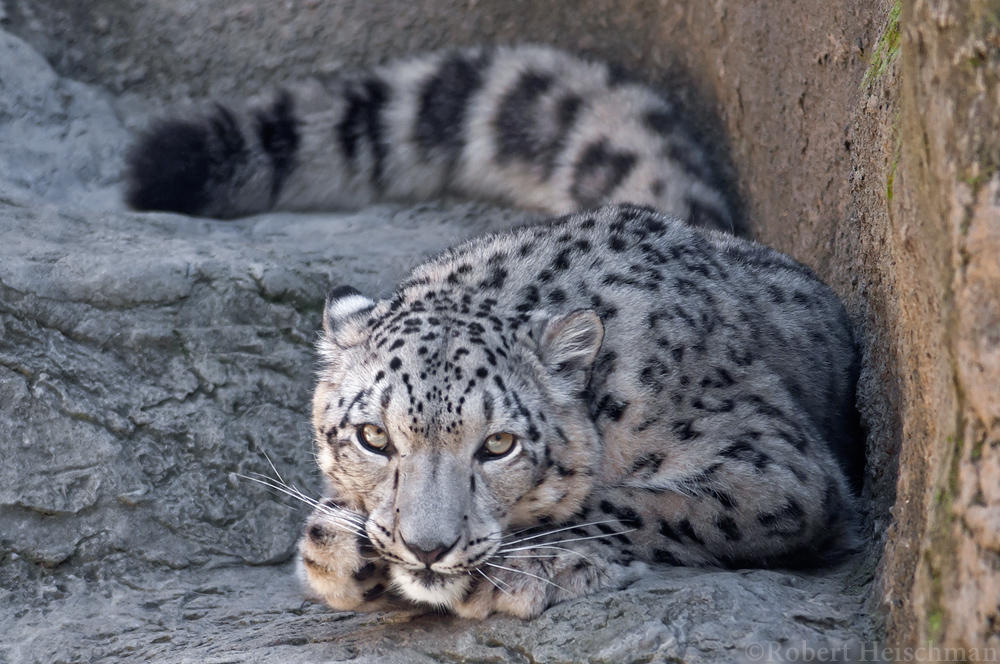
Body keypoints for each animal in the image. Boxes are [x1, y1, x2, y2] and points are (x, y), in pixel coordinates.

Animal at [123, 45, 860, 616]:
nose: (427, 548)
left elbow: (635, 504)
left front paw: (531, 567)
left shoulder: (776, 470)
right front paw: (340, 547)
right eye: (373, 437)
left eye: (498, 445)